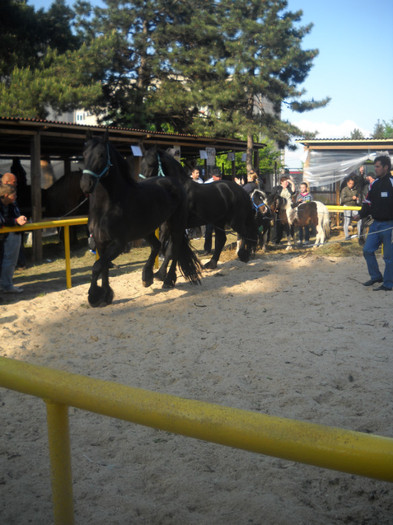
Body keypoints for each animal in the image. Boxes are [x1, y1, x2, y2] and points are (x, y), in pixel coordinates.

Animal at [80, 133, 202, 308]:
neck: (108, 206)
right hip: (150, 229)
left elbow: (97, 267)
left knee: (174, 248)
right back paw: (148, 276)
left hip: (176, 225)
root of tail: (174, 182)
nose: (85, 185)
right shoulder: (100, 242)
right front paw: (106, 295)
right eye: (84, 154)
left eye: (102, 155)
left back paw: (167, 280)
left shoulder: (119, 244)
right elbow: (104, 268)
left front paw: (94, 295)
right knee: (157, 245)